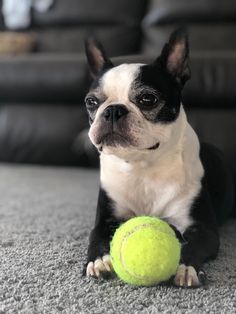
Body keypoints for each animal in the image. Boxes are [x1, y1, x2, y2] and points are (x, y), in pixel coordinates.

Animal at [83, 29, 234, 288]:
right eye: (91, 102)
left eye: (147, 99)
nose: (112, 110)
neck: (142, 167)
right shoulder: (105, 220)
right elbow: (95, 238)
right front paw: (98, 260)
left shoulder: (202, 228)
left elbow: (194, 245)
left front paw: (187, 267)